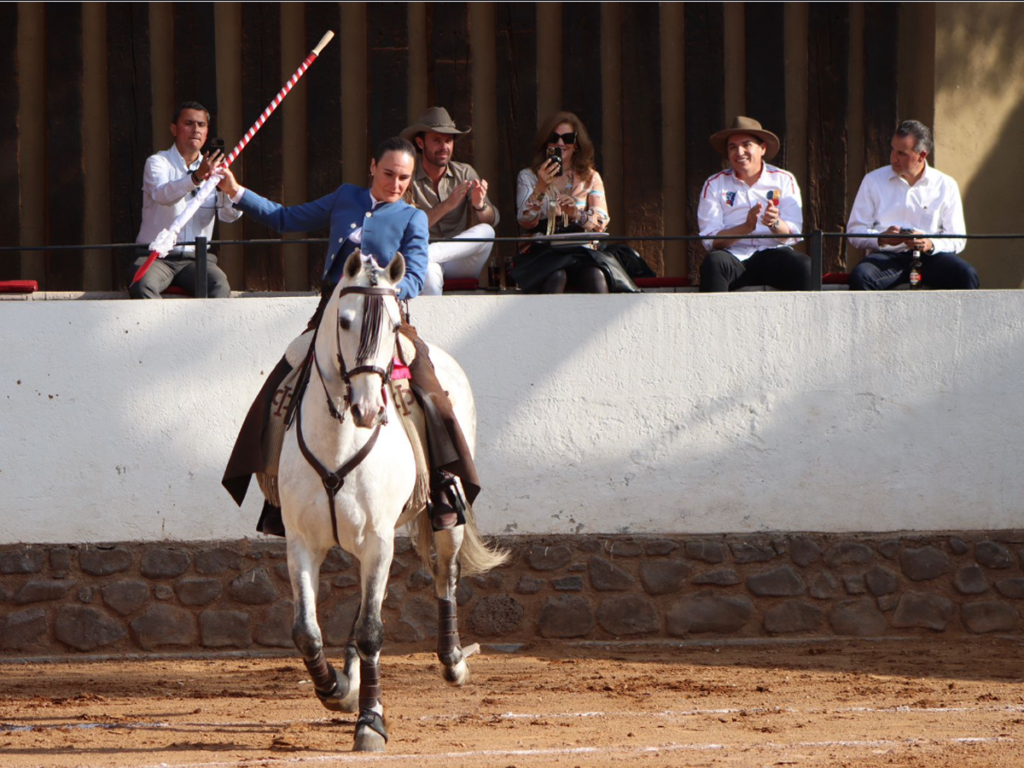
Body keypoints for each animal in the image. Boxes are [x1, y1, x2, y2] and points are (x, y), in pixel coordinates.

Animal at [280, 250, 507, 753]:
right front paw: (336, 690)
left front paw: (371, 721)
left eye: (391, 325)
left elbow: (372, 631)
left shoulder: (378, 539)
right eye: (344, 320)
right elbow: (307, 631)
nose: (368, 410)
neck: (338, 440)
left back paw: (453, 660)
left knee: (445, 574)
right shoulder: (301, 542)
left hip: (445, 516)